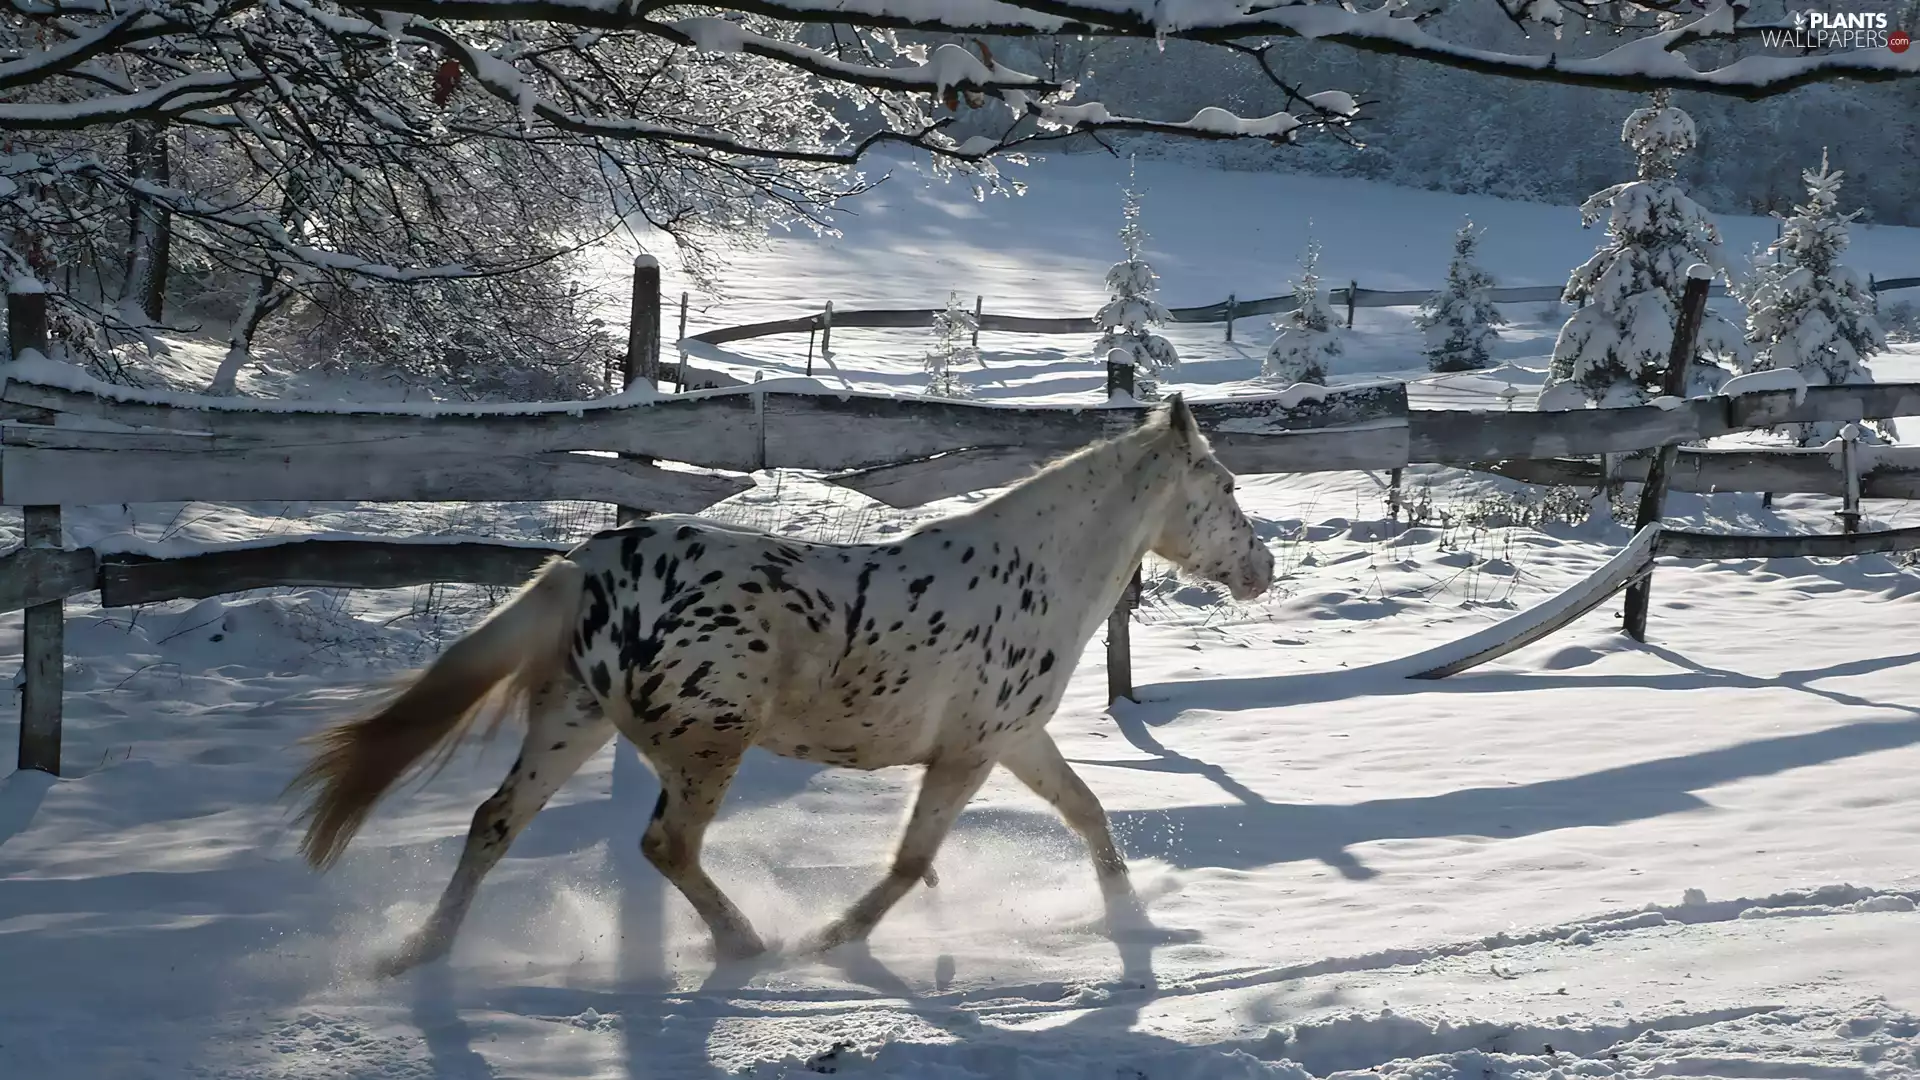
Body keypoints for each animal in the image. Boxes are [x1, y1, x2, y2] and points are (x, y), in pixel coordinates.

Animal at [287, 394, 1274, 974]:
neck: (1037, 572)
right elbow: (912, 860)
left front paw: (1134, 918)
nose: (1262, 568)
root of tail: (589, 569)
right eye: (1226, 486)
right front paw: (833, 938)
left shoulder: (1013, 738)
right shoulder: (969, 752)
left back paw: (416, 952)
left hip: (574, 718)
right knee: (665, 847)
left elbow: (1088, 815)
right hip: (706, 744)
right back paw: (750, 944)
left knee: (495, 822)